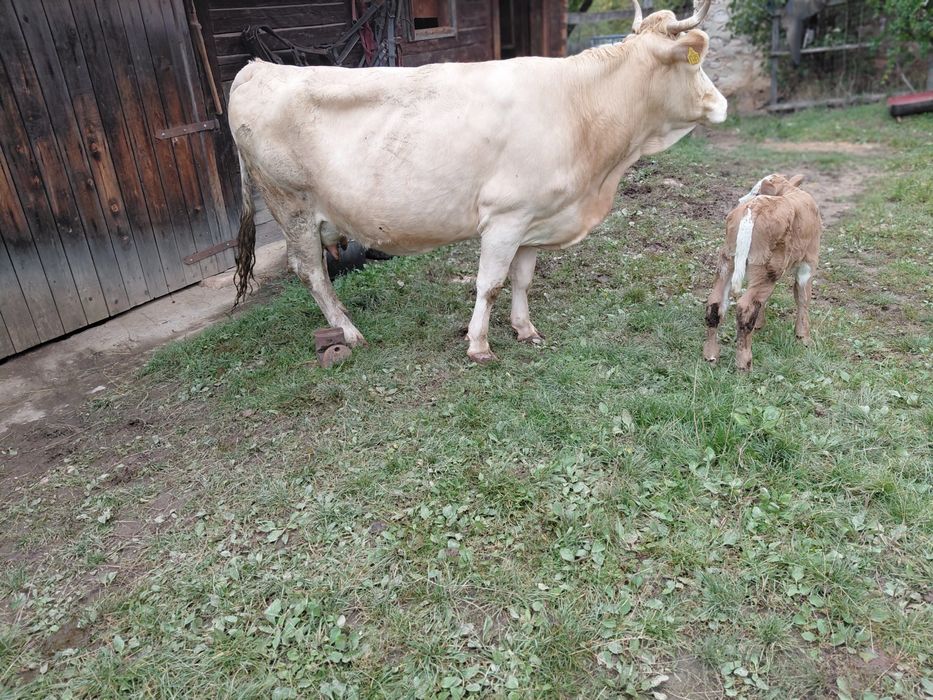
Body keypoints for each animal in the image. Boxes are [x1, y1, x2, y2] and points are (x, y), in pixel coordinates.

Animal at [228, 0, 728, 362]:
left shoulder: (535, 219)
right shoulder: (505, 218)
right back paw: (350, 333)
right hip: (290, 204)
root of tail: (256, 67)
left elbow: (522, 280)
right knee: (311, 272)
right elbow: (489, 284)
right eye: (695, 62)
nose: (722, 104)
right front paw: (479, 345)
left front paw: (526, 330)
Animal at [703, 174, 823, 371]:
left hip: (728, 260)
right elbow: (803, 298)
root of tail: (753, 208)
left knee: (716, 302)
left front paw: (760, 325)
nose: (740, 199)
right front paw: (804, 338)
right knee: (746, 307)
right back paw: (744, 364)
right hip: (766, 269)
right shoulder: (808, 263)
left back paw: (710, 356)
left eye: (755, 191)